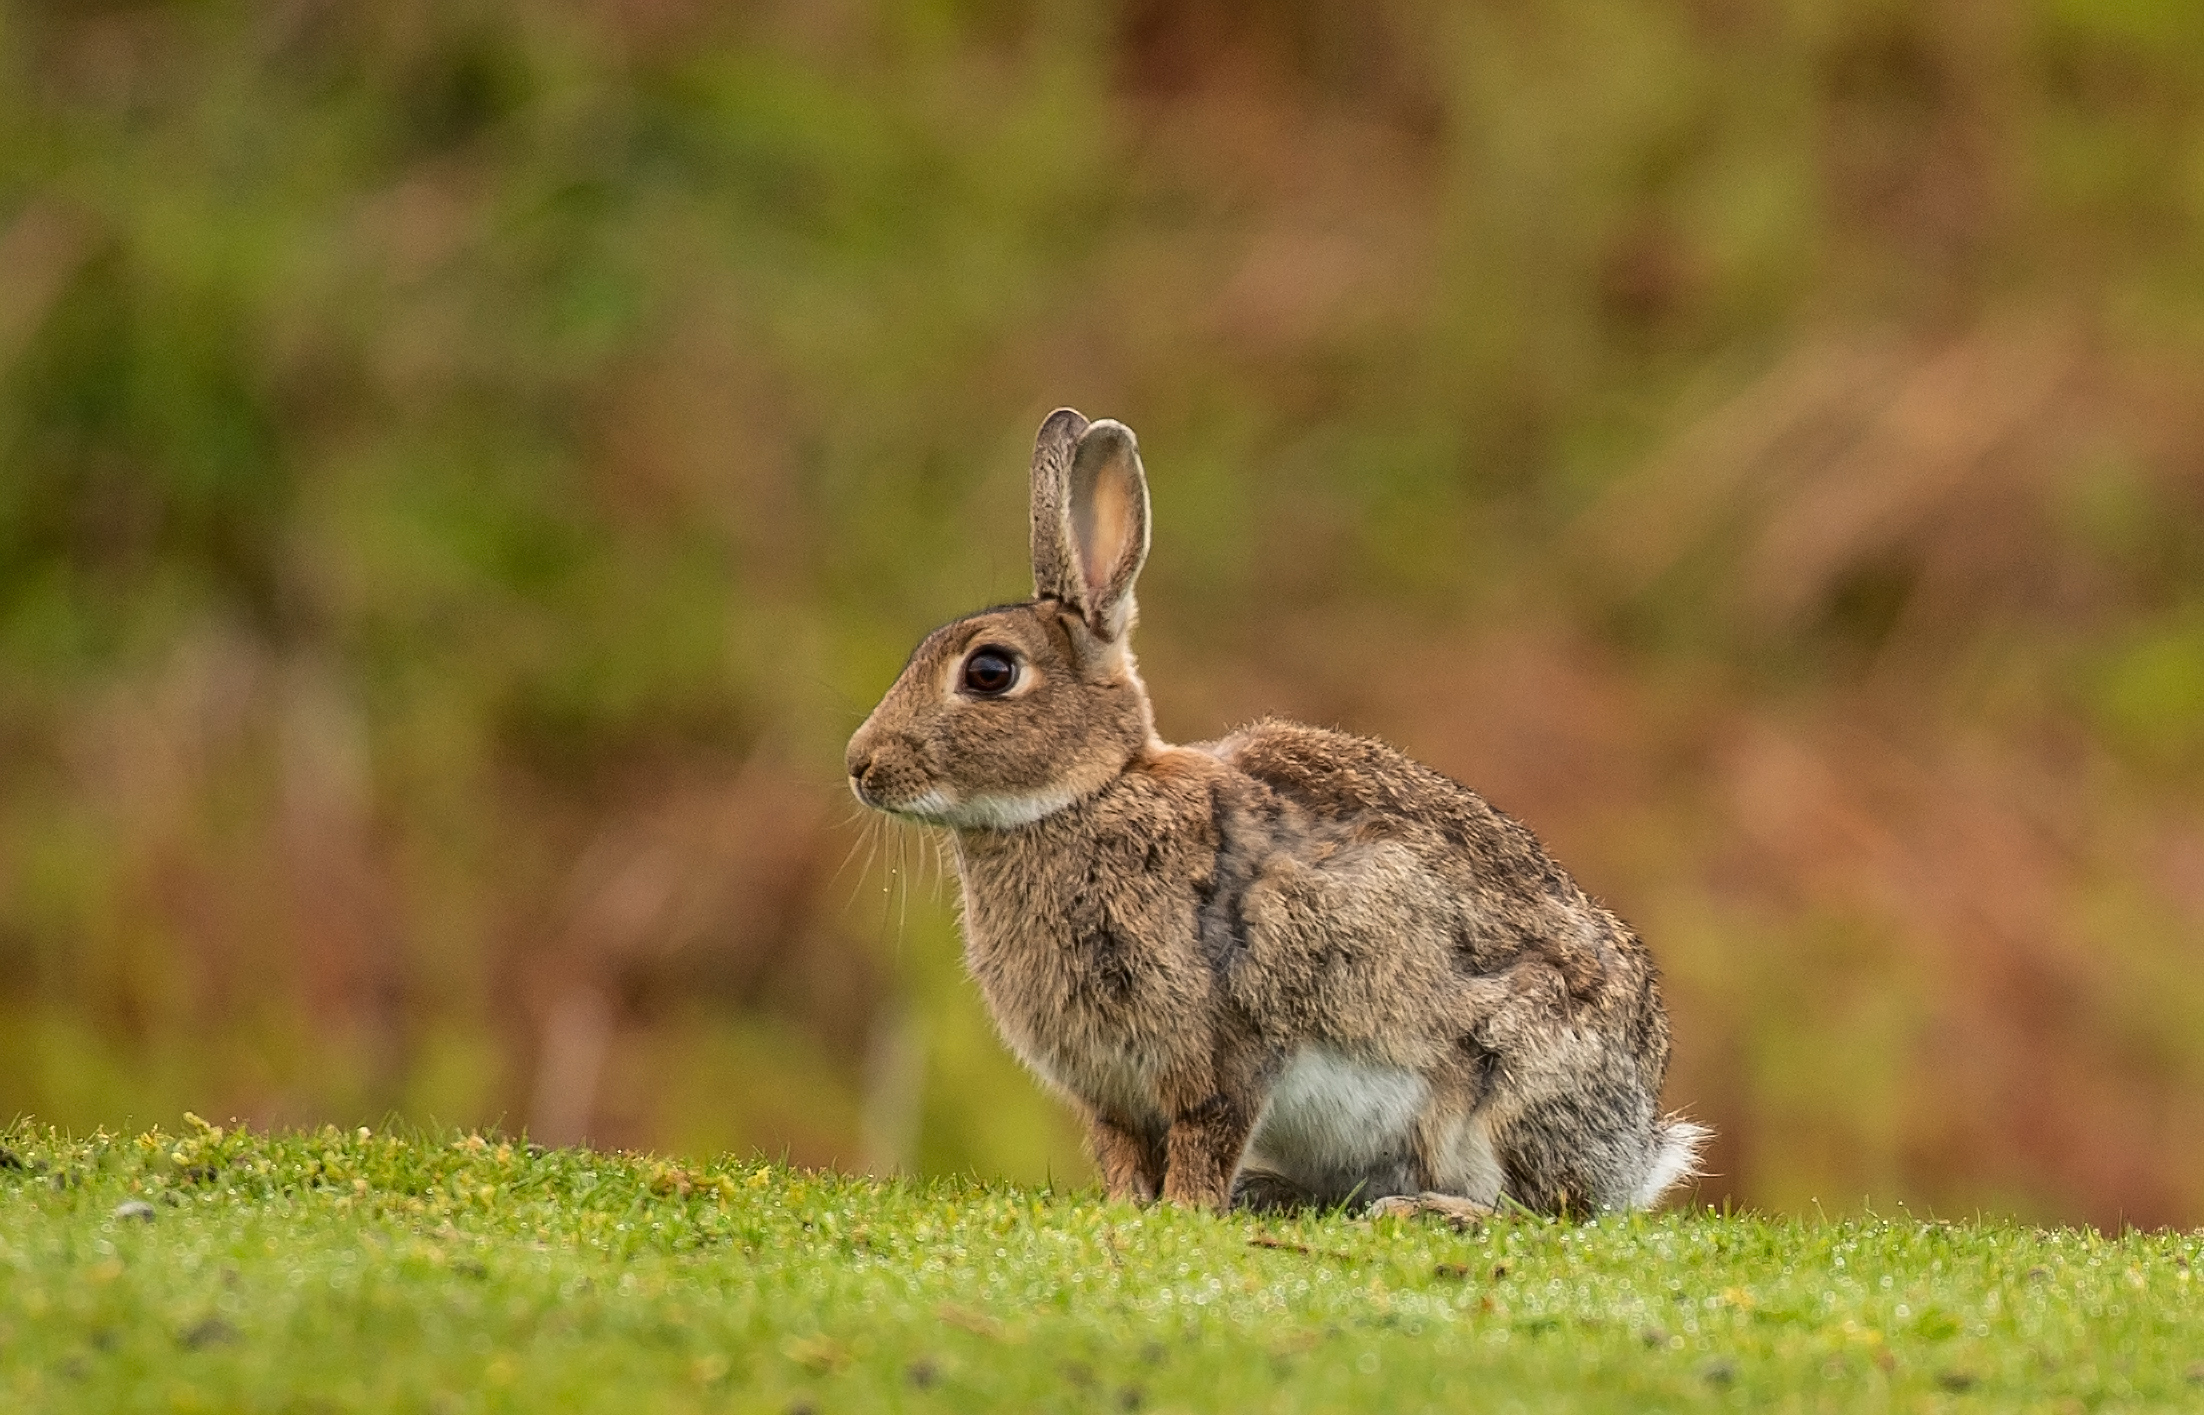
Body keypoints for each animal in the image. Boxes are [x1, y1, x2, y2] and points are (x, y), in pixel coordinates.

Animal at [841, 405, 1701, 1216]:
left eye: (990, 671)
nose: (860, 765)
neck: (1091, 795)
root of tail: (1636, 1148)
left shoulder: (1229, 1049)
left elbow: (1206, 1133)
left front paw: (1186, 1210)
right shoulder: (1110, 1091)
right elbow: (1123, 1154)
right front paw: (1130, 1208)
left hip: (1507, 1085)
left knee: (1550, 1209)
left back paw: (1431, 1211)